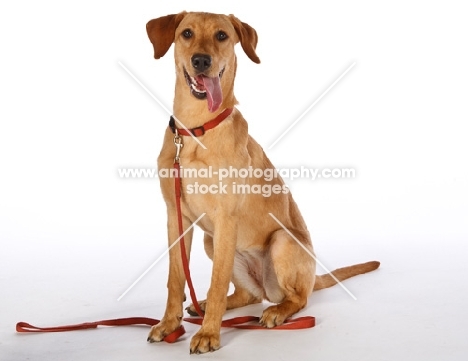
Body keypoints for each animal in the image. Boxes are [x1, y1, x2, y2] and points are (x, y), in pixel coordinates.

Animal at [146, 10, 380, 352]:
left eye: (221, 36)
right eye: (186, 33)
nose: (201, 60)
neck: (196, 130)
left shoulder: (226, 218)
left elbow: (216, 283)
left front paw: (208, 333)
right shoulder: (176, 219)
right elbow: (175, 280)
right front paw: (168, 325)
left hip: (281, 241)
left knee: (298, 298)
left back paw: (276, 312)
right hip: (212, 241)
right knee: (249, 295)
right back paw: (207, 306)